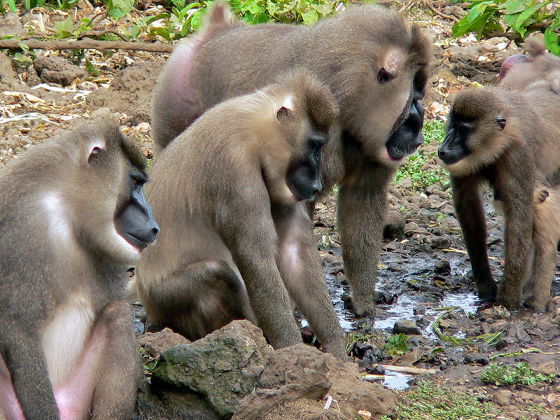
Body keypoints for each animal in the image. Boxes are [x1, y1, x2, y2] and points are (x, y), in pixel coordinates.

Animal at [0, 121, 160, 420]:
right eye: (134, 182)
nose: (154, 226)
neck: (68, 210)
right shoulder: (26, 230)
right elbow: (17, 329)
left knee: (118, 314)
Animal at [136, 69, 348, 358]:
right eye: (314, 145)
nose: (316, 184)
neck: (253, 129)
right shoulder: (234, 171)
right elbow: (255, 257)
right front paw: (291, 350)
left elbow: (295, 254)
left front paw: (337, 353)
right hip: (164, 299)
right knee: (215, 270)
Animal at [150, 0, 434, 316]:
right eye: (414, 97)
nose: (418, 132)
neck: (350, 93)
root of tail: (214, 33)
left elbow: (361, 203)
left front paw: (363, 304)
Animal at [440, 85, 560, 308]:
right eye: (452, 126)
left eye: (464, 129)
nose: (444, 148)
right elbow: (469, 211)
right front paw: (486, 287)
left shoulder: (518, 157)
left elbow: (519, 219)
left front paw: (507, 301)